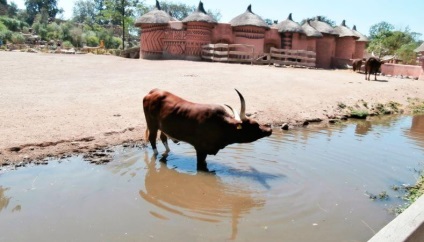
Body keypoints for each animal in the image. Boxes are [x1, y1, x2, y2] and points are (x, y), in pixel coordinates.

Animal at [144, 88, 274, 170]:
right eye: (255, 125)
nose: (269, 129)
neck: (221, 125)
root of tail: (153, 91)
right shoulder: (200, 150)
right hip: (152, 124)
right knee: (152, 139)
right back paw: (156, 154)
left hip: (162, 126)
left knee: (163, 137)